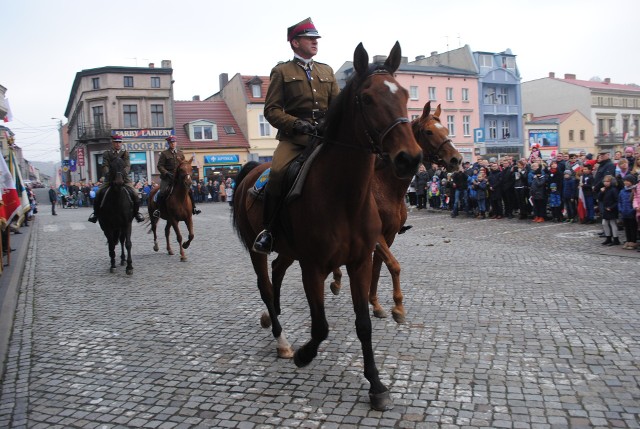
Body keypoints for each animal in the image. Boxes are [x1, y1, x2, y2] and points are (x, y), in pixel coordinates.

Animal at [232, 41, 422, 410]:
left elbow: (363, 324)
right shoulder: (314, 266)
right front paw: (304, 354)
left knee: (277, 272)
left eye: (406, 94)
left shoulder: (359, 262)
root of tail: (251, 169)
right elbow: (320, 326)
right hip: (257, 248)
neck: (344, 195)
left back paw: (273, 319)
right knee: (266, 284)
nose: (410, 158)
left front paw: (376, 385)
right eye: (368, 99)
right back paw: (281, 339)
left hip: (288, 250)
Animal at [272, 101, 462, 320]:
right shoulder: (377, 237)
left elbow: (377, 269)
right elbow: (393, 265)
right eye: (429, 131)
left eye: (446, 129)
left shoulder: (388, 236)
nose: (456, 159)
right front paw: (398, 307)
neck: (384, 186)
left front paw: (376, 304)